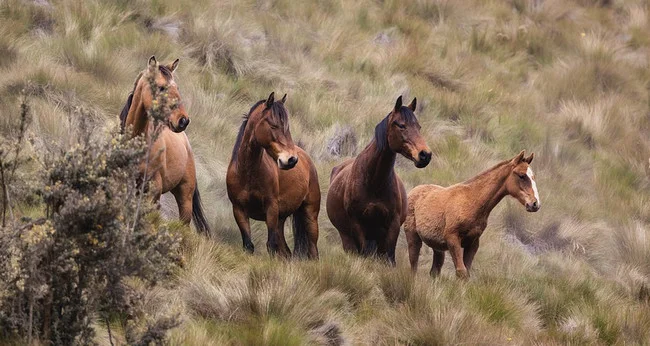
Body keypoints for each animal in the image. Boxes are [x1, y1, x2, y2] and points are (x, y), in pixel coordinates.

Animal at [225, 92, 322, 260]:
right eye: (273, 126)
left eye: (287, 128)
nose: (291, 160)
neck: (247, 174)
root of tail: (307, 159)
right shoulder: (239, 210)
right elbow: (248, 245)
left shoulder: (271, 209)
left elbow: (271, 245)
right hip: (280, 221)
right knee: (286, 252)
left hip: (310, 216)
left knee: (313, 251)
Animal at [324, 96, 430, 264]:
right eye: (401, 125)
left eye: (418, 127)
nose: (425, 155)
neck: (374, 182)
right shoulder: (357, 224)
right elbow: (364, 253)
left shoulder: (392, 226)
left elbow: (389, 258)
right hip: (347, 237)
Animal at [402, 150, 540, 280]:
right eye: (522, 176)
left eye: (533, 176)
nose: (535, 204)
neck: (472, 201)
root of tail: (413, 191)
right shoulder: (452, 239)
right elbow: (461, 272)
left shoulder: (473, 243)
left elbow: (466, 273)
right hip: (413, 237)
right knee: (413, 266)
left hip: (438, 247)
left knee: (434, 272)